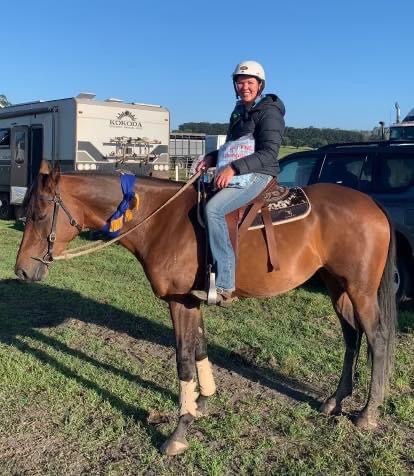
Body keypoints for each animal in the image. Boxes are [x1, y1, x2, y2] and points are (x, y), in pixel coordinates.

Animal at [15, 161, 396, 456]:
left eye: (40, 214)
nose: (21, 270)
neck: (161, 220)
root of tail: (374, 205)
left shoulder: (179, 302)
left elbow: (183, 360)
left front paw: (179, 431)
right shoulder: (193, 301)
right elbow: (200, 349)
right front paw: (203, 401)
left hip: (360, 290)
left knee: (376, 339)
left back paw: (368, 413)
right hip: (336, 285)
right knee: (351, 336)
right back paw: (336, 399)